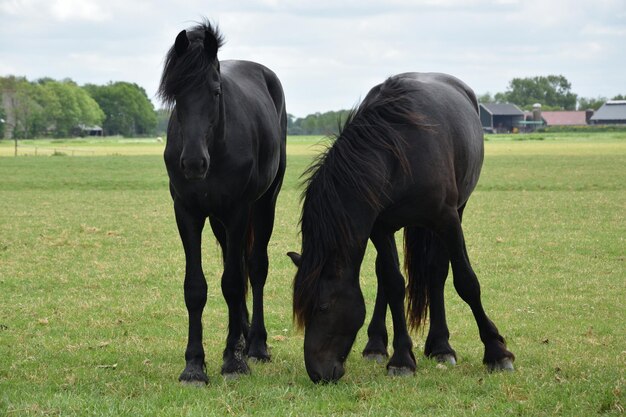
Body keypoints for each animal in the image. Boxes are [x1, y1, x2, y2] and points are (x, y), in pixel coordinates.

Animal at [160, 21, 288, 382]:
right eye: (176, 95)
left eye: (216, 92)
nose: (193, 163)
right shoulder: (188, 213)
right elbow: (196, 287)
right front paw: (194, 365)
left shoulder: (238, 211)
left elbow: (231, 282)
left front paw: (233, 361)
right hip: (218, 222)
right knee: (241, 266)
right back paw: (243, 336)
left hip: (263, 205)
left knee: (254, 268)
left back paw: (255, 344)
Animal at [288, 73, 512, 382]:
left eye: (323, 306)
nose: (317, 373)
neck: (397, 153)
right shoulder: (380, 228)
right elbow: (394, 284)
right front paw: (402, 358)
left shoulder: (448, 219)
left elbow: (466, 282)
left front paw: (497, 351)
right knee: (386, 275)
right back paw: (376, 345)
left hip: (454, 213)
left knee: (437, 272)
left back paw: (441, 346)